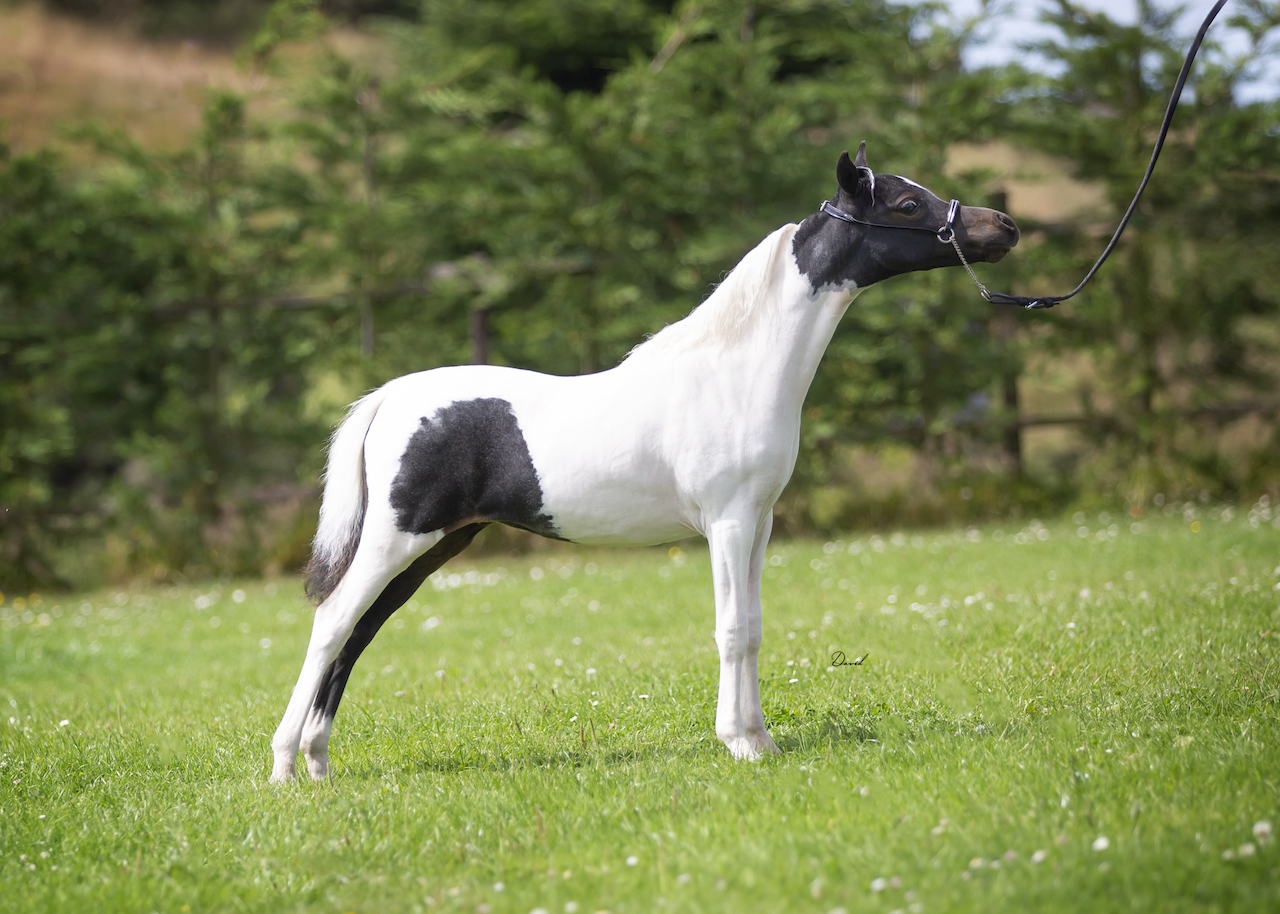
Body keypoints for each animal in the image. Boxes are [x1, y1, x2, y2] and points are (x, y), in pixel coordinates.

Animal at [269, 142, 1019, 782]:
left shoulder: (759, 524)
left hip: (433, 547)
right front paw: (739, 744)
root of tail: (391, 397)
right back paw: (283, 767)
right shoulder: (728, 523)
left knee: (358, 633)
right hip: (397, 539)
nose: (1004, 227)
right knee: (332, 625)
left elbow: (753, 627)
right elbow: (732, 629)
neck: (736, 371)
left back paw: (318, 761)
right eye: (907, 204)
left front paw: (760, 740)